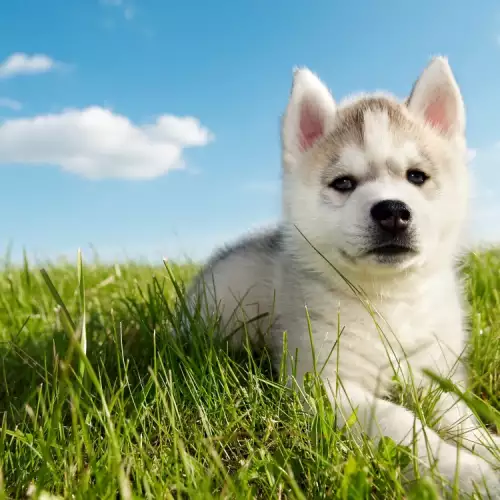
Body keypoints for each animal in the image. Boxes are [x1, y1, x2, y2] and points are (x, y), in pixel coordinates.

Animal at [188, 58, 500, 496]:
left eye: (416, 176)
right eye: (344, 183)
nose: (393, 211)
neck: (388, 299)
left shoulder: (433, 374)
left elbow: (460, 415)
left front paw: (487, 447)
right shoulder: (326, 383)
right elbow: (402, 422)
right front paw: (470, 474)